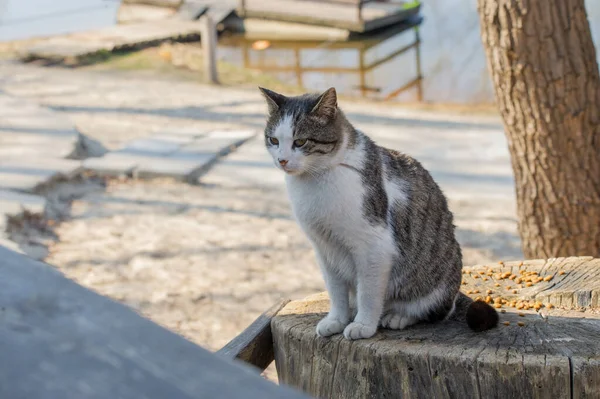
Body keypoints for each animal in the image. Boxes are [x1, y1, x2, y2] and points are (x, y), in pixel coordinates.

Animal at [258, 87, 496, 340]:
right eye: (274, 140)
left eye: (300, 141)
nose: (282, 160)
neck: (315, 180)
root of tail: (455, 291)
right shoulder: (325, 249)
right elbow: (336, 291)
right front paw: (336, 320)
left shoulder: (373, 247)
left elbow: (368, 293)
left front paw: (363, 325)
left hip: (433, 281)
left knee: (434, 311)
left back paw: (398, 317)